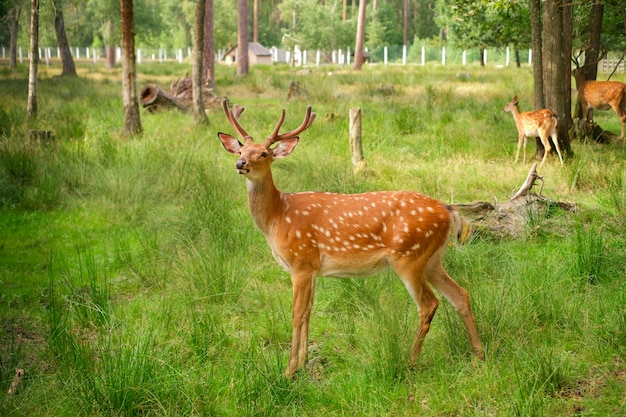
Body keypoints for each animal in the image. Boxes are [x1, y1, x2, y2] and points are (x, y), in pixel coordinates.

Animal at [217, 98, 486, 376]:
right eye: (241, 150)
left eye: (264, 153)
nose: (241, 164)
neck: (278, 216)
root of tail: (450, 211)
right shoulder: (313, 268)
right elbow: (309, 312)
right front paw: (303, 362)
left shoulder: (301, 261)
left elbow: (296, 314)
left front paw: (289, 370)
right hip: (432, 259)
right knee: (460, 295)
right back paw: (479, 355)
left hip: (409, 256)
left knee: (429, 304)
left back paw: (409, 360)